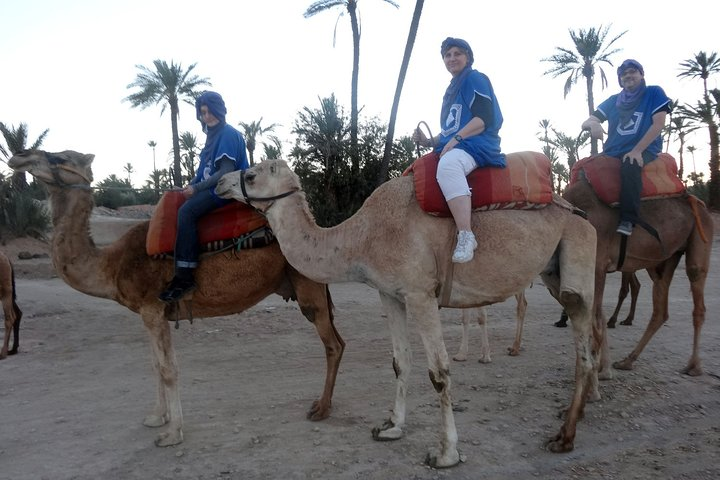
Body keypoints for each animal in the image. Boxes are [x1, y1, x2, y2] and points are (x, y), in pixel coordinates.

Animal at [8, 150, 345, 447]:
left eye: (59, 157)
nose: (18, 155)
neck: (112, 263)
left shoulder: (152, 308)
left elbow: (168, 369)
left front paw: (172, 434)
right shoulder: (155, 313)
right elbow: (156, 365)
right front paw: (158, 417)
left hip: (308, 284)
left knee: (332, 344)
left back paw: (321, 408)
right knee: (339, 341)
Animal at [216, 159, 598, 468]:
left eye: (250, 174)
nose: (219, 182)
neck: (362, 238)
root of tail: (580, 215)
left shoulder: (420, 294)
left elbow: (439, 372)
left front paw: (446, 453)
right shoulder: (389, 294)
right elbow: (401, 362)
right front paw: (392, 427)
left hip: (577, 254)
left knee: (581, 333)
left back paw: (564, 436)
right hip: (552, 272)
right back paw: (576, 413)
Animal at [563, 178, 712, 379]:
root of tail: (699, 203)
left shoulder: (598, 264)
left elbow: (595, 316)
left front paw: (597, 372)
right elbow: (597, 315)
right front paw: (601, 368)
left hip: (700, 235)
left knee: (697, 296)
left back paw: (694, 366)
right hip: (665, 259)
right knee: (660, 309)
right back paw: (627, 361)